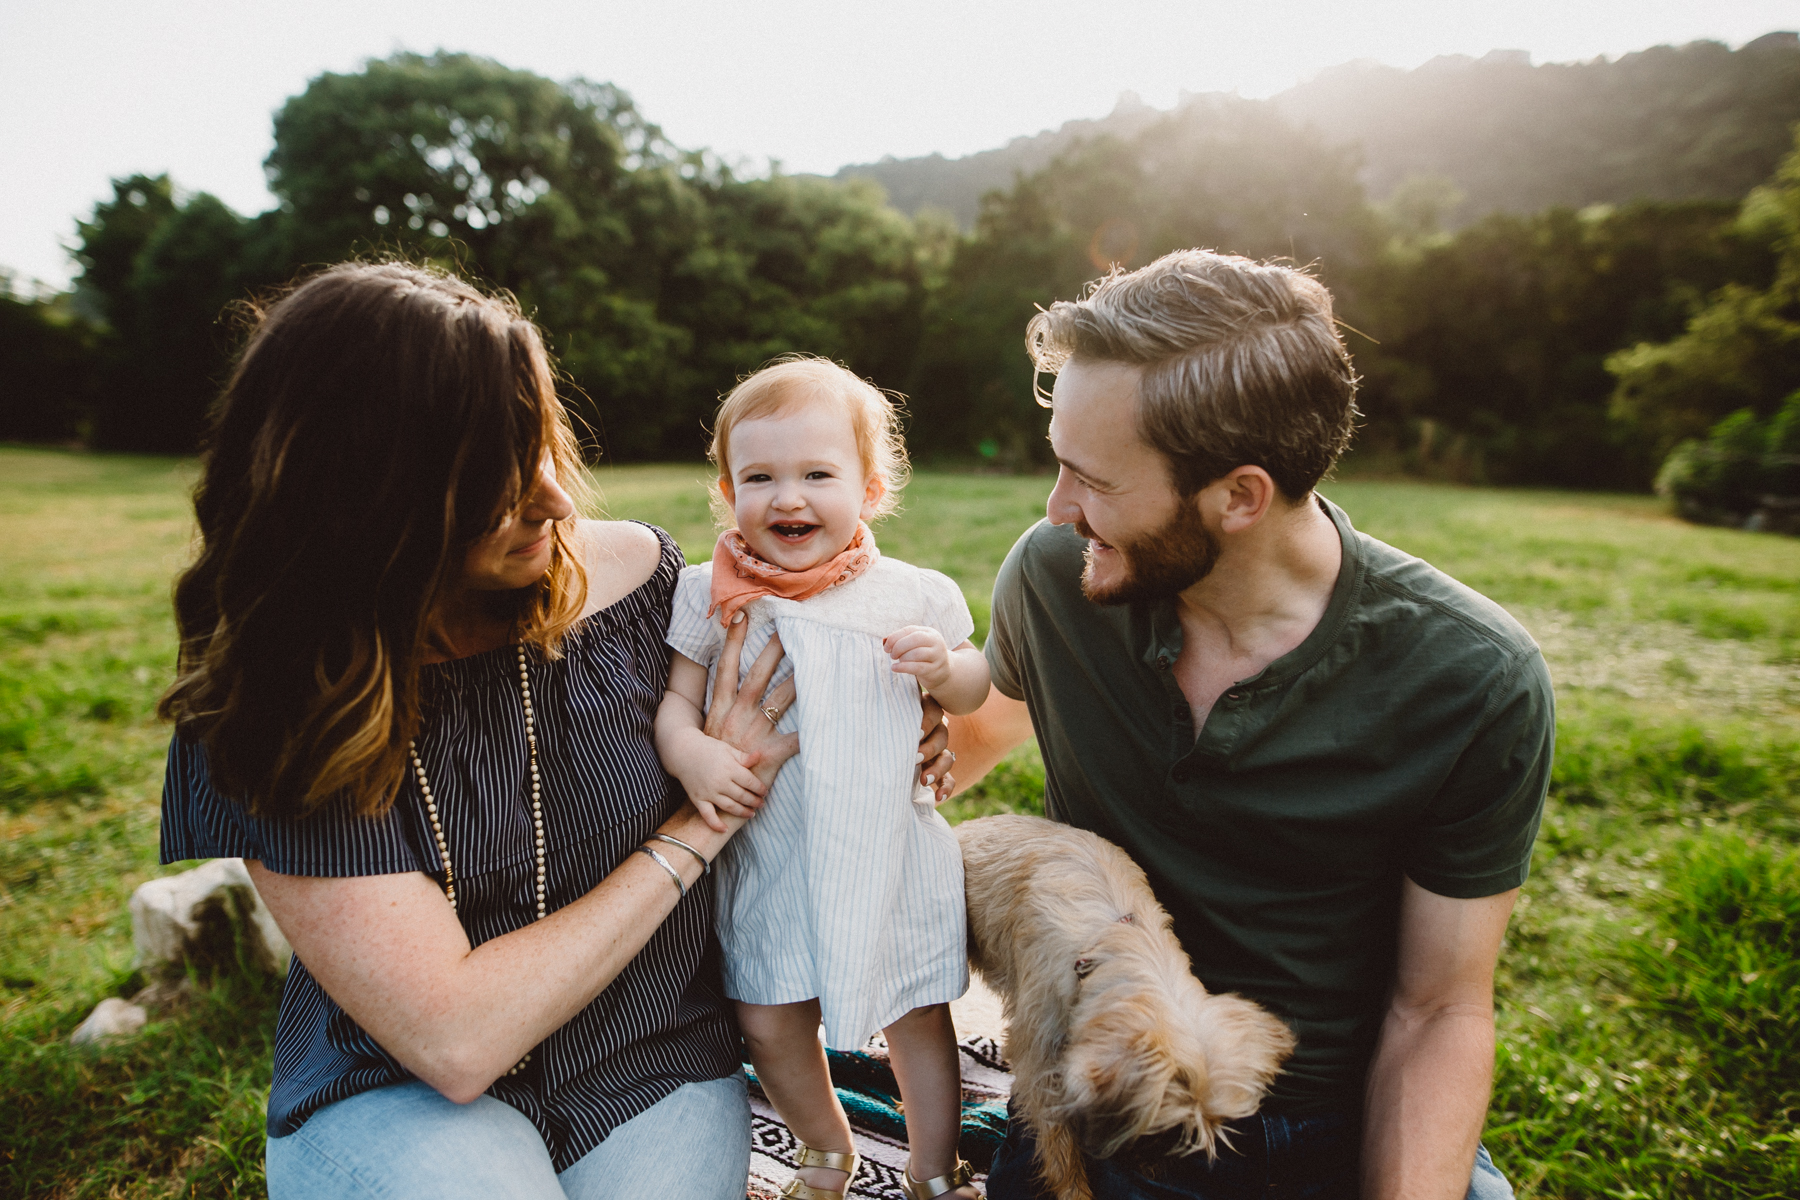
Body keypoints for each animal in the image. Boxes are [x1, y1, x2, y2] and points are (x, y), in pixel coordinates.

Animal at [957, 813, 1296, 1194]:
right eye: (1163, 1126)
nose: (1154, 1162)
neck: (1114, 943)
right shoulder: (1040, 1056)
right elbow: (1059, 1142)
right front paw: (1075, 1191)